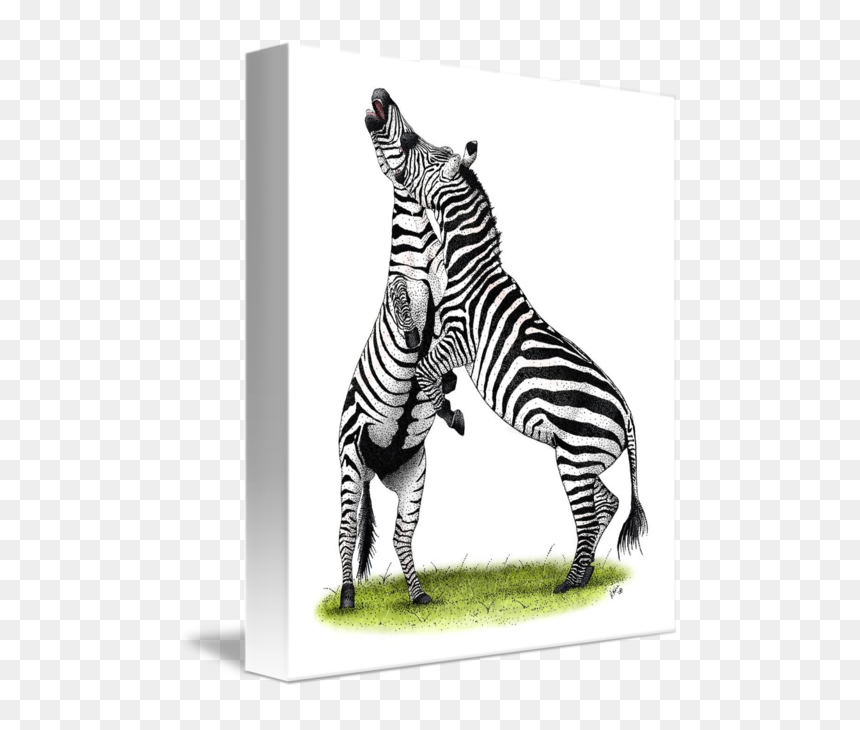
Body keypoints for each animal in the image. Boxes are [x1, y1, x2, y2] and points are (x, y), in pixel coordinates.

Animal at [366, 89, 647, 594]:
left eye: (416, 144)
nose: (380, 96)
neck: (469, 268)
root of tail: (628, 416)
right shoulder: (445, 339)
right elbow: (425, 367)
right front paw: (445, 403)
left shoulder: (458, 339)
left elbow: (426, 370)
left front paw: (447, 410)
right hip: (581, 457)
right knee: (607, 502)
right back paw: (585, 573)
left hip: (575, 457)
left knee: (589, 513)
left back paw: (570, 582)